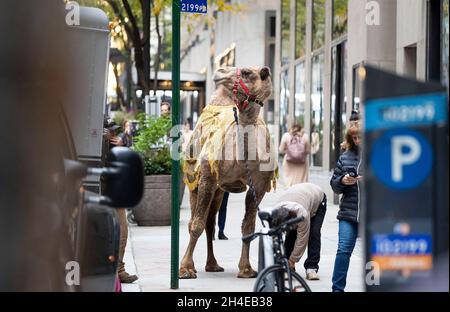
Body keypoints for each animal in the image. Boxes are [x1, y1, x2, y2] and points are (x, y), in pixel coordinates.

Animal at [181, 65, 276, 278]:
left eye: (248, 72)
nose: (220, 71)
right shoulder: (207, 175)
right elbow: (196, 224)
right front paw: (185, 269)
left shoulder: (259, 185)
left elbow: (248, 227)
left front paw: (247, 269)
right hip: (195, 180)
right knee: (194, 221)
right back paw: (194, 265)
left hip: (220, 190)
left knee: (211, 223)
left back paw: (213, 265)